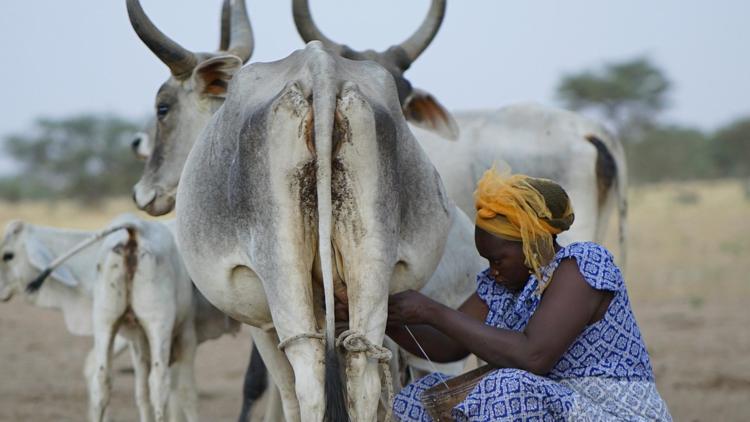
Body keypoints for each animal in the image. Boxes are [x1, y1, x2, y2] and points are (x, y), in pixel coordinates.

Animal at [0, 216, 241, 422]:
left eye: (7, 255)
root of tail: (134, 228)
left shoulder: (156, 337)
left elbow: (163, 393)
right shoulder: (170, 336)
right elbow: (177, 393)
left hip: (109, 323)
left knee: (106, 381)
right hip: (154, 326)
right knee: (157, 383)